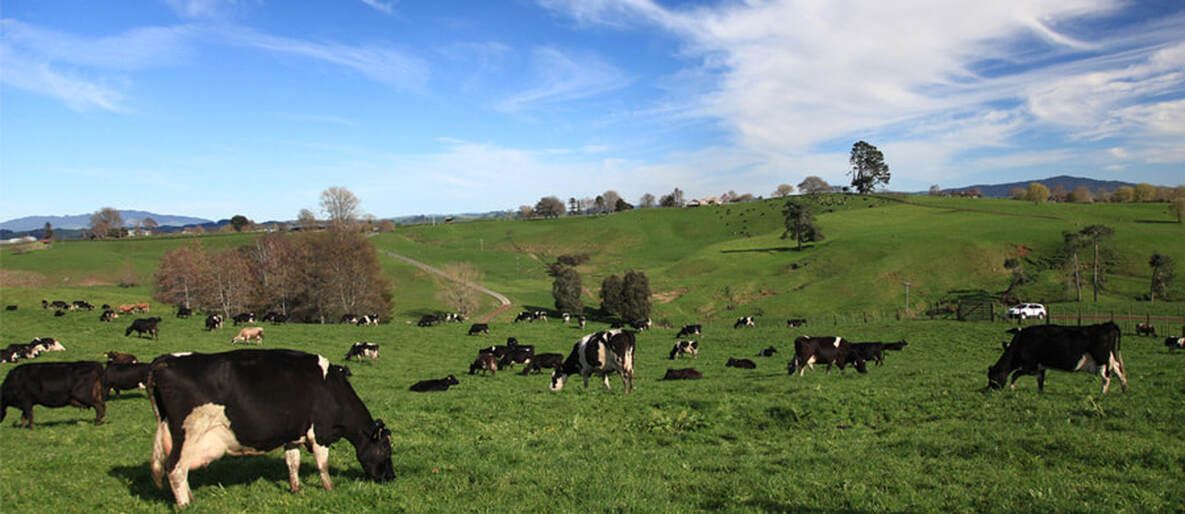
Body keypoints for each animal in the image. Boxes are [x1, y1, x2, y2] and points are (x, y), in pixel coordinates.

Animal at [148, 348, 395, 506]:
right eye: (386, 450)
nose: (391, 478)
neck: (332, 389)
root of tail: (164, 360)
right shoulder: (321, 433)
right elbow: (322, 465)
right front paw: (330, 489)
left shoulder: (293, 434)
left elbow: (293, 463)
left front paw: (296, 489)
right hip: (189, 434)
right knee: (175, 469)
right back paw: (185, 505)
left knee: (179, 468)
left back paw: (191, 498)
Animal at [981, 322, 1128, 393]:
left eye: (992, 377)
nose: (989, 390)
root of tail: (1108, 325)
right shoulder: (1040, 367)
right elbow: (1040, 380)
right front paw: (1040, 393)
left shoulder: (1030, 365)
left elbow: (1015, 374)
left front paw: (1012, 388)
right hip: (1110, 358)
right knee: (1119, 370)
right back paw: (1124, 390)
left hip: (1102, 360)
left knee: (1106, 378)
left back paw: (1102, 394)